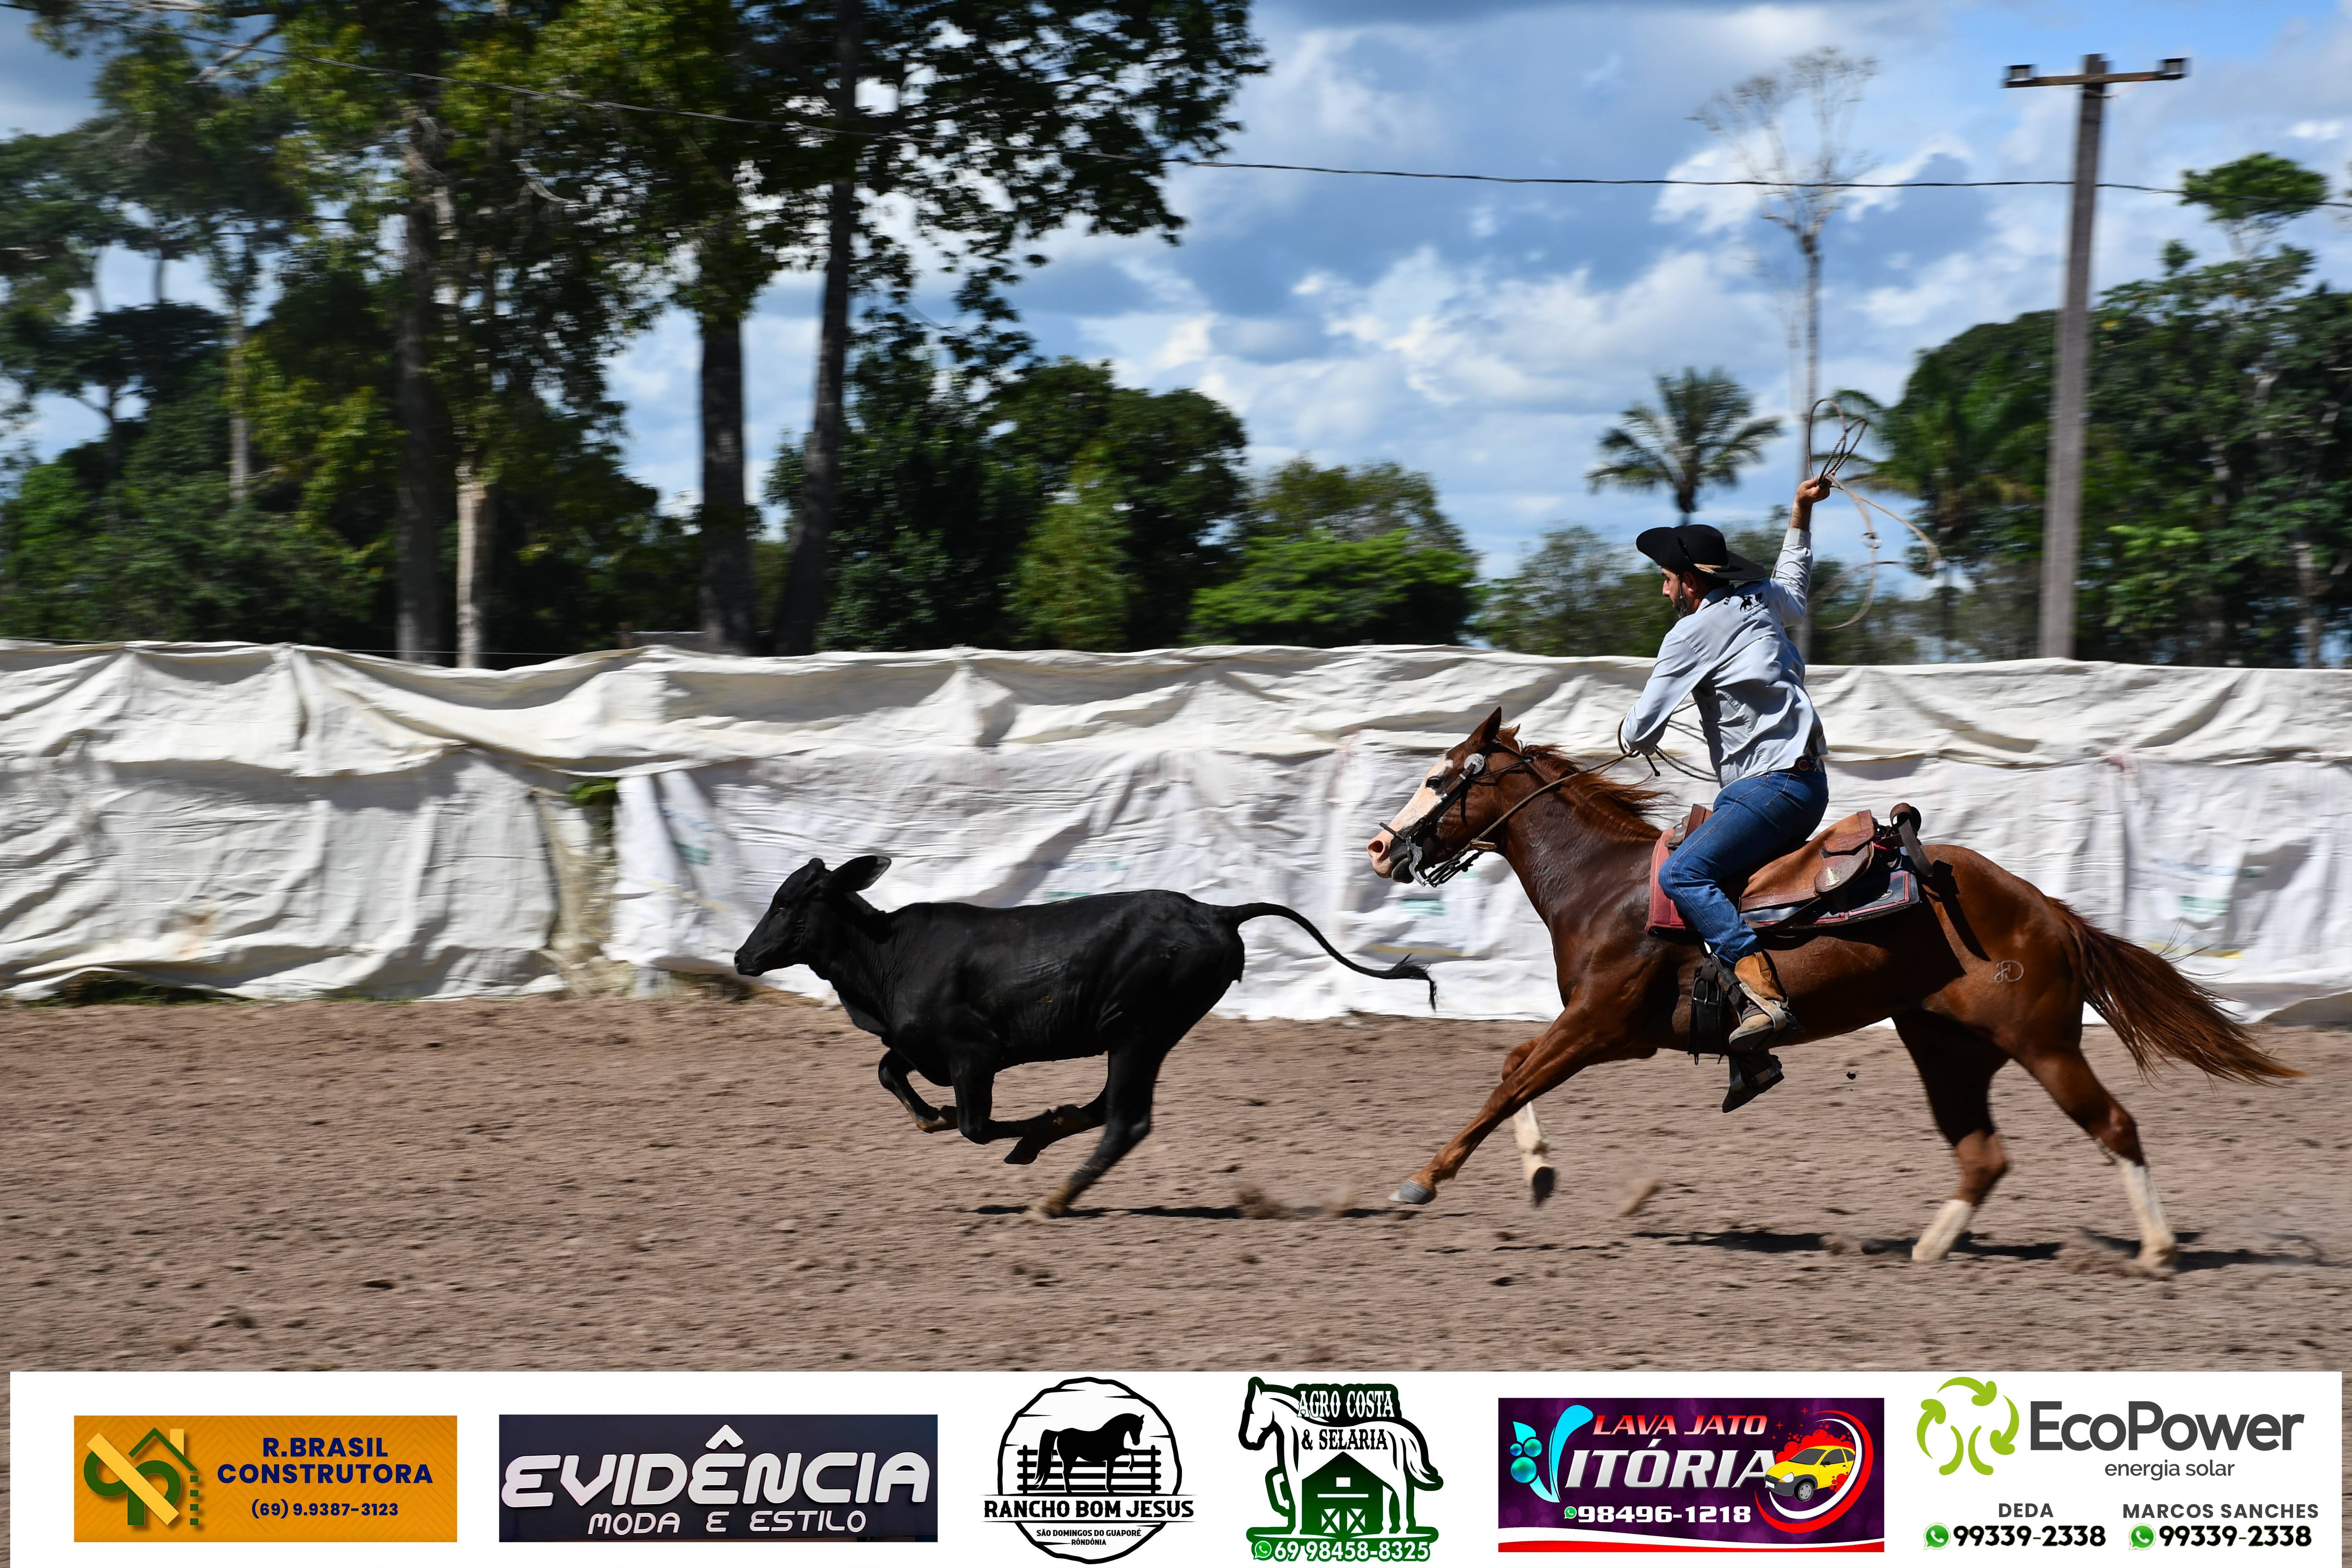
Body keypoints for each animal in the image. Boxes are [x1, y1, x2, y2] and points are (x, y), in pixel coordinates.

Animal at [1036, 1412, 1147, 1493]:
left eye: (1141, 1428)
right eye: (1136, 1426)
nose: (1136, 1443)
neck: (1112, 1434)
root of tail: (1060, 1433)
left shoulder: (1117, 1454)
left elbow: (1130, 1452)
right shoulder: (1113, 1457)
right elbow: (1112, 1471)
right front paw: (1130, 1468)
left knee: (1065, 1473)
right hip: (1070, 1459)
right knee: (1065, 1473)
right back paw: (1069, 1491)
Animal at [1238, 1379, 1440, 1538]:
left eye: (1252, 1412)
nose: (1248, 1440)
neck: (1298, 1434)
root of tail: (1396, 1430)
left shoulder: (1295, 1475)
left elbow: (1292, 1495)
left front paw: (1294, 1528)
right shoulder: (1292, 1472)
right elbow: (1274, 1478)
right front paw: (1286, 1509)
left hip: (1386, 1469)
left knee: (1402, 1488)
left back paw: (1403, 1530)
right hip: (1382, 1470)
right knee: (1392, 1491)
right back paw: (1387, 1531)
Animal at [1364, 708, 2299, 1269]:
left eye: (1443, 775)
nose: (1380, 846)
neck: (1609, 883)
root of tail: (2046, 907)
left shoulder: (1599, 1024)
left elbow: (1508, 1082)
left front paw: (1419, 1181)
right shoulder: (1609, 1032)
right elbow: (1514, 1067)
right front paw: (1538, 1172)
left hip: (2043, 1043)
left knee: (2112, 1124)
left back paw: (2157, 1250)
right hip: (1946, 1047)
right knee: (1983, 1152)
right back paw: (1925, 1248)